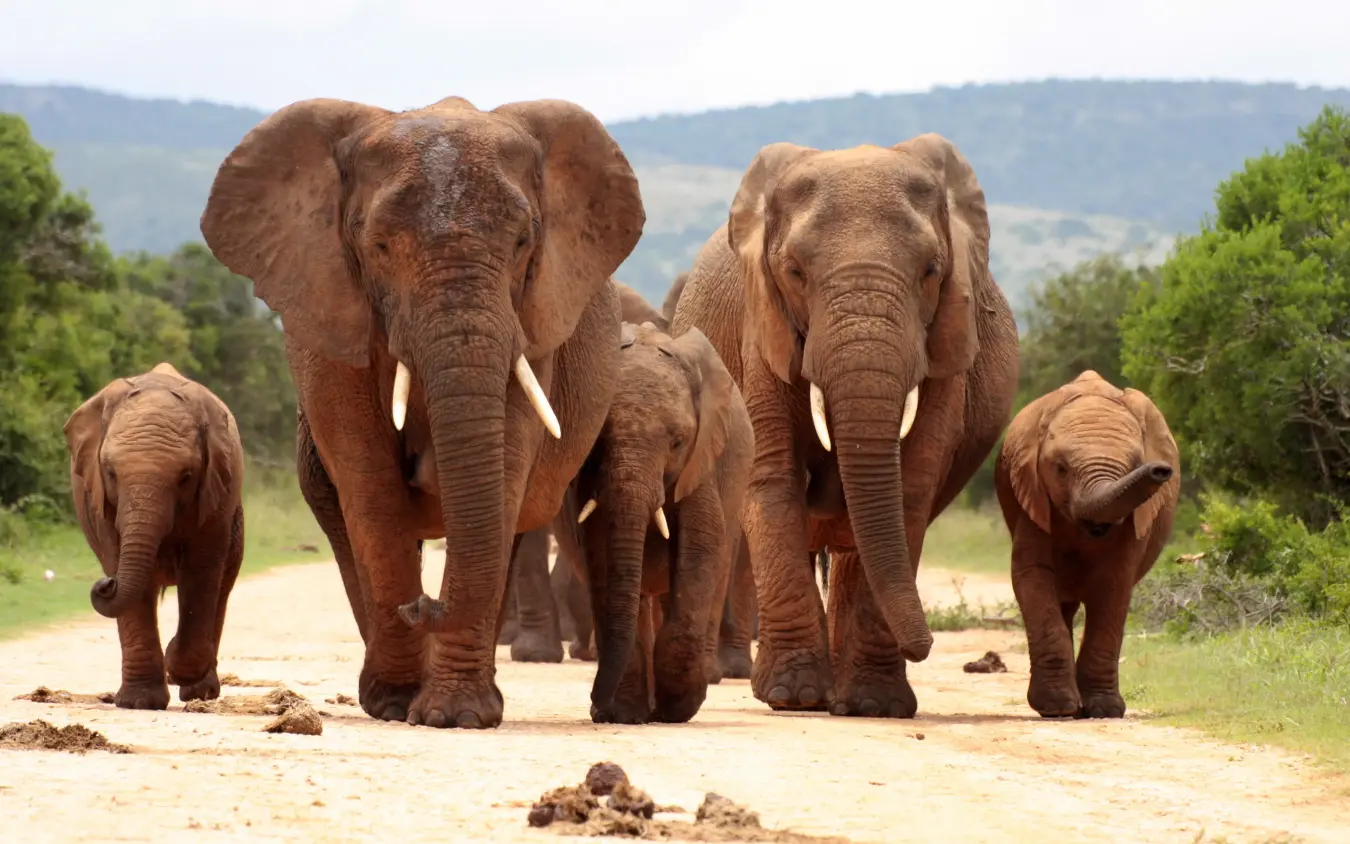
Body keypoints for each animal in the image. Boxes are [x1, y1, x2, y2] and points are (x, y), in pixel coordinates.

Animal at [63, 362, 245, 710]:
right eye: (110, 473)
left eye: (186, 476)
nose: (105, 584)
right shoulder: (100, 504)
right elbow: (121, 563)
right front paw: (138, 703)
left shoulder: (215, 496)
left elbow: (201, 572)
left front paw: (174, 662)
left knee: (223, 586)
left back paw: (200, 693)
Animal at [201, 95, 645, 729]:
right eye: (380, 246)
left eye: (523, 242)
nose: (424, 605)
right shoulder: (330, 325)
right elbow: (372, 491)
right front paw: (396, 703)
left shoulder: (536, 324)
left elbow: (504, 473)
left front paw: (456, 716)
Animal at [561, 323, 754, 724]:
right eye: (597, 442)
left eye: (677, 442)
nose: (595, 706)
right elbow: (601, 554)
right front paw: (622, 713)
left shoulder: (701, 462)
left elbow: (700, 548)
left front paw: (676, 707)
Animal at [670, 134, 1020, 718]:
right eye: (795, 272)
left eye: (931, 271)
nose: (928, 647)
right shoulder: (760, 331)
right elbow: (773, 479)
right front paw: (792, 697)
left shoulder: (945, 344)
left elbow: (909, 487)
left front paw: (876, 705)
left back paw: (846, 696)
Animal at [995, 370, 1180, 719]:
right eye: (1060, 469)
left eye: (1135, 464)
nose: (1162, 470)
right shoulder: (1033, 499)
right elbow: (1032, 574)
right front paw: (1056, 707)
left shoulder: (1136, 521)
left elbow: (1113, 586)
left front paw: (1104, 710)